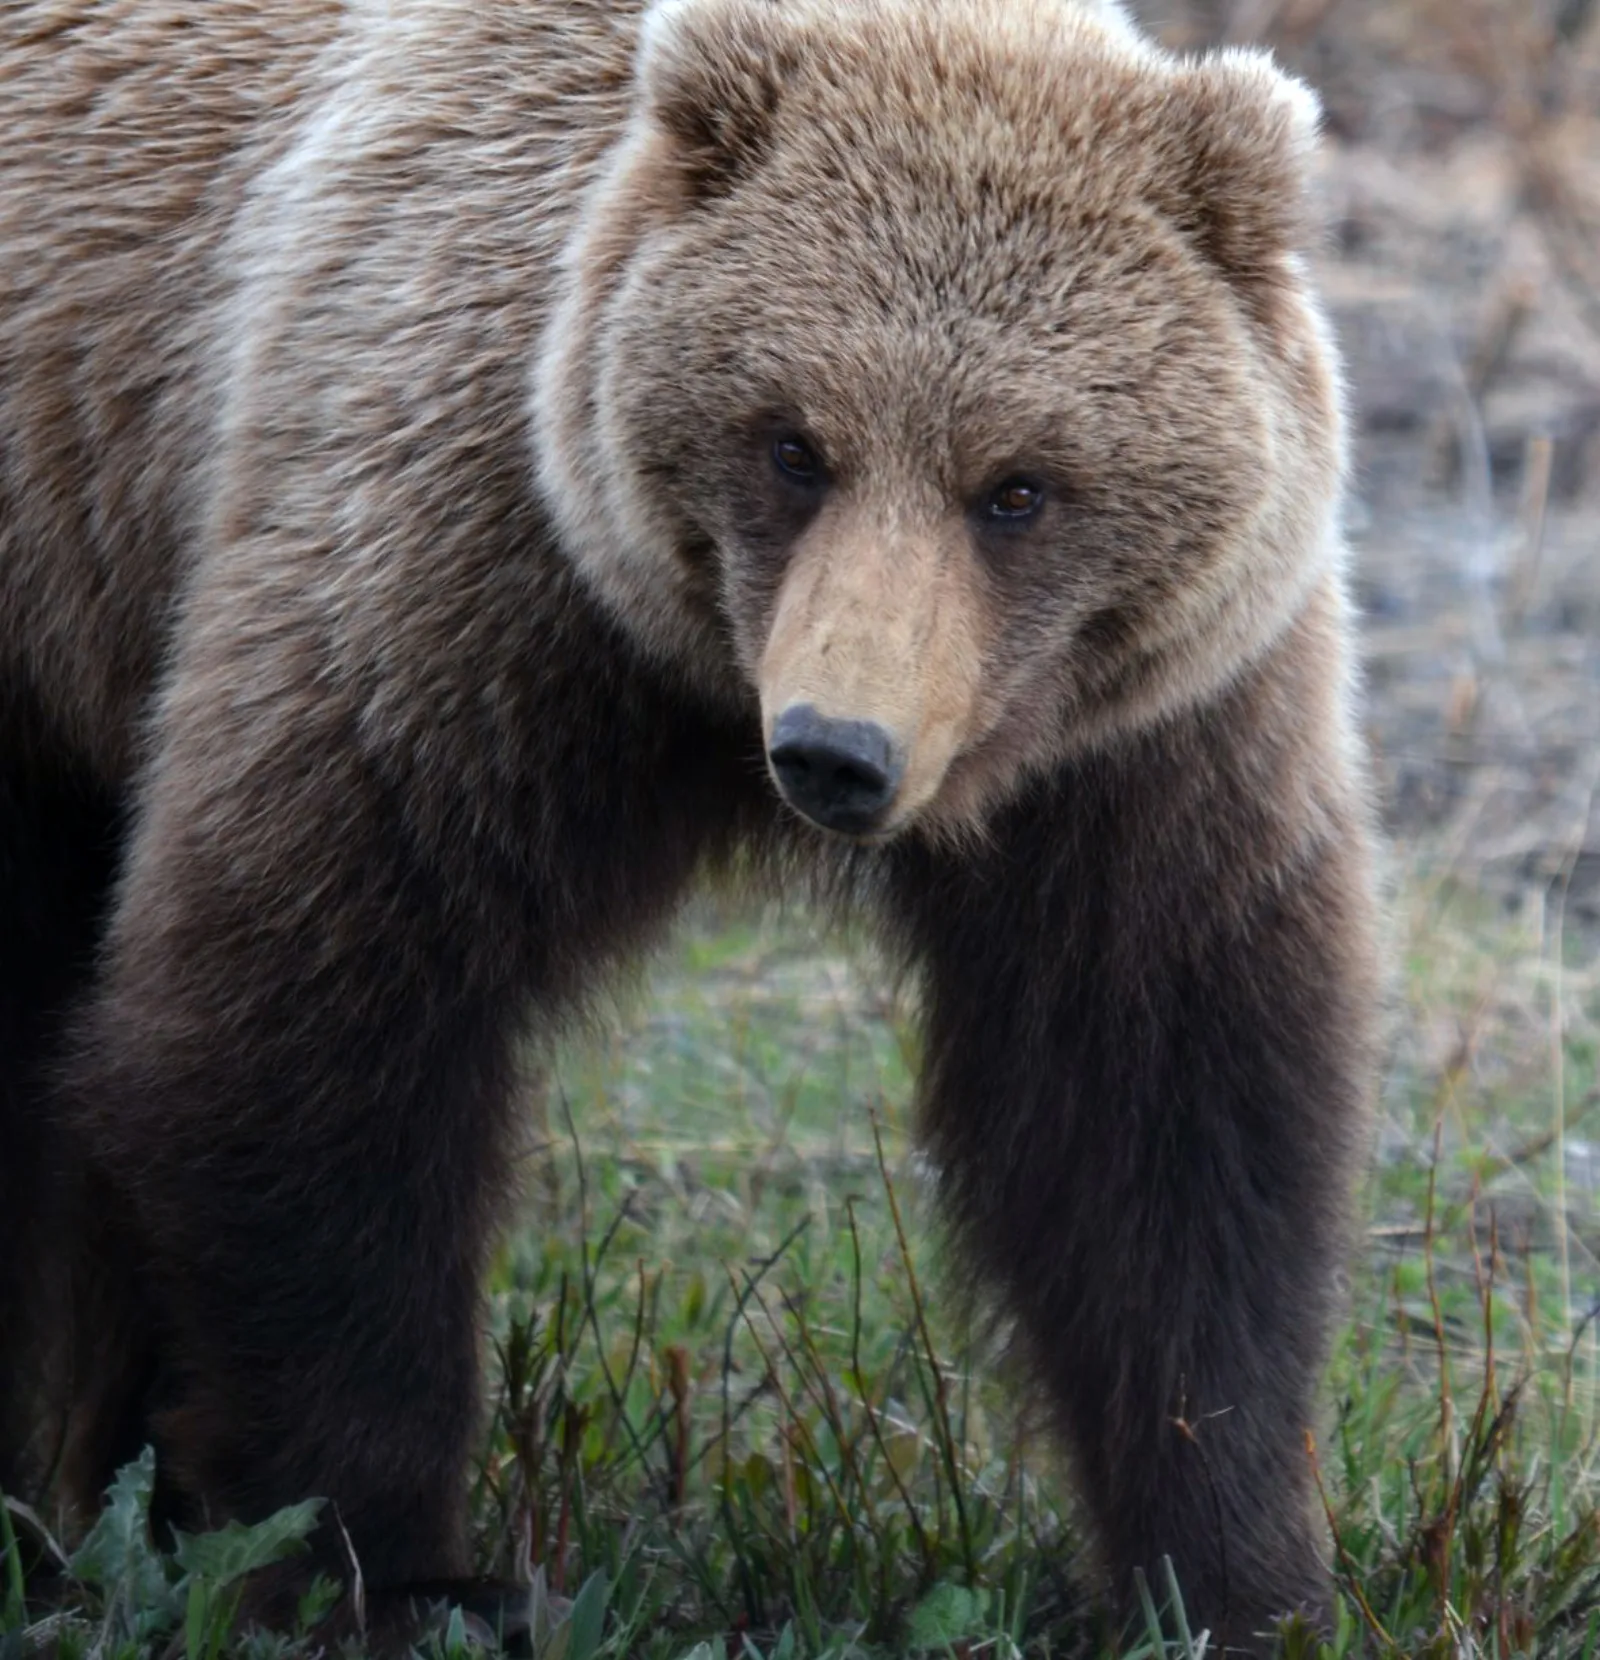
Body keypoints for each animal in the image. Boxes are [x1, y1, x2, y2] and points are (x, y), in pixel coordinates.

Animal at [0, 0, 1381, 1651]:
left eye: (1019, 486)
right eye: (793, 443)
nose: (839, 751)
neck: (697, 687)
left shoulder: (1143, 745)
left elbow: (1162, 1113)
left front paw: (1235, 1571)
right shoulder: (454, 599)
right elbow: (311, 1031)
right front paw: (392, 1565)